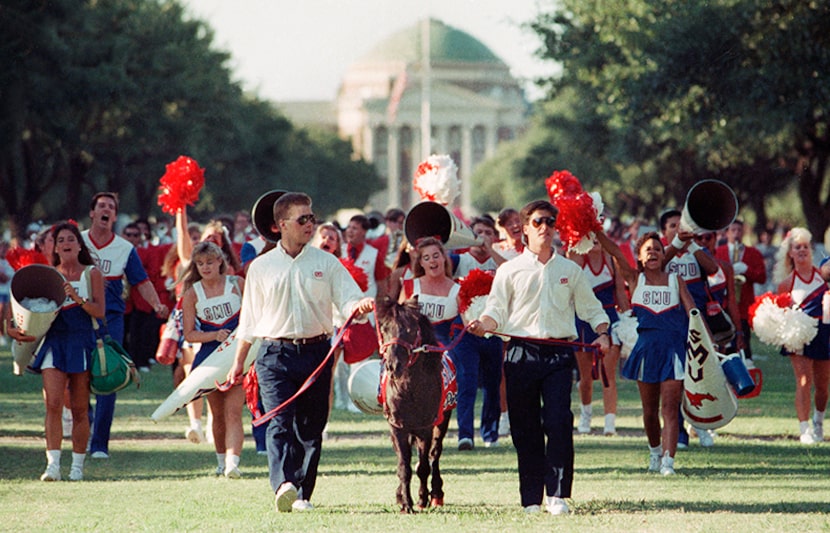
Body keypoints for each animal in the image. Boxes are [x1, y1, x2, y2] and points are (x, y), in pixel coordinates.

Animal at [378, 296, 456, 512]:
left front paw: (421, 499)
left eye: (410, 329)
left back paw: (436, 494)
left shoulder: (425, 427)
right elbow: (403, 466)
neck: (410, 389)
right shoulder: (397, 426)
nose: (393, 365)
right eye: (385, 328)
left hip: (443, 420)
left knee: (435, 454)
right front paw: (405, 502)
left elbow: (423, 466)